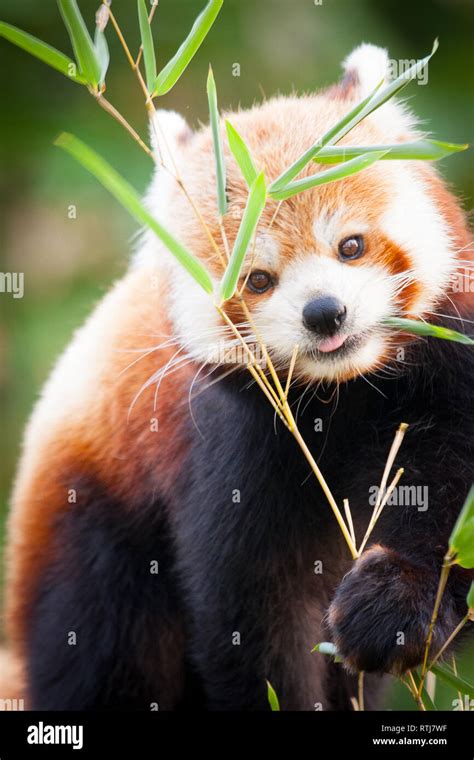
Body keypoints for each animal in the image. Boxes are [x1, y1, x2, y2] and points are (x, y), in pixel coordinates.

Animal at [2, 46, 474, 712]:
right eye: (258, 280)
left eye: (351, 245)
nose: (325, 313)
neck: (342, 397)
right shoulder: (226, 448)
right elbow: (252, 624)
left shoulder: (444, 376)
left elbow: (452, 504)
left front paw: (393, 605)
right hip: (90, 530)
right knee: (100, 649)